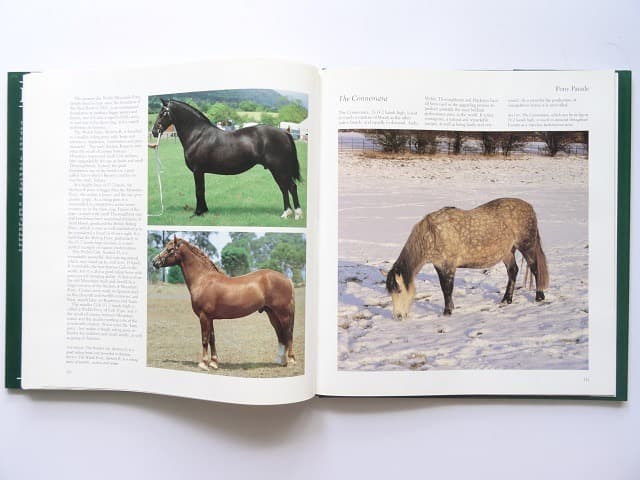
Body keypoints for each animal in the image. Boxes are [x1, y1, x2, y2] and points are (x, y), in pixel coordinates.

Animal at [151, 99, 303, 219]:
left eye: (162, 113)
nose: (153, 131)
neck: (197, 135)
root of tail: (284, 133)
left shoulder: (197, 170)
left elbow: (198, 191)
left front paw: (198, 213)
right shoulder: (201, 172)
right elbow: (202, 190)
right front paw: (204, 210)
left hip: (278, 168)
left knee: (291, 187)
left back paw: (296, 214)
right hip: (278, 169)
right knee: (284, 188)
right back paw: (287, 213)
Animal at [151, 236, 296, 370]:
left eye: (169, 249)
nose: (154, 261)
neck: (203, 279)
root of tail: (287, 279)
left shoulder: (204, 316)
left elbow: (204, 339)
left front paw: (203, 363)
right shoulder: (210, 318)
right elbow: (212, 338)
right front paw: (214, 363)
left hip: (282, 314)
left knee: (287, 333)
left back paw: (291, 361)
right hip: (272, 313)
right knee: (280, 334)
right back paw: (280, 361)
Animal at [385, 198, 549, 319]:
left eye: (399, 290)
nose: (398, 316)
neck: (433, 234)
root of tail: (529, 206)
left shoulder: (448, 266)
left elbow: (447, 289)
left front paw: (447, 312)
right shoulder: (439, 265)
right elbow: (444, 288)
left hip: (527, 246)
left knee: (535, 268)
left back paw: (539, 296)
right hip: (508, 252)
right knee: (513, 271)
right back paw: (506, 300)